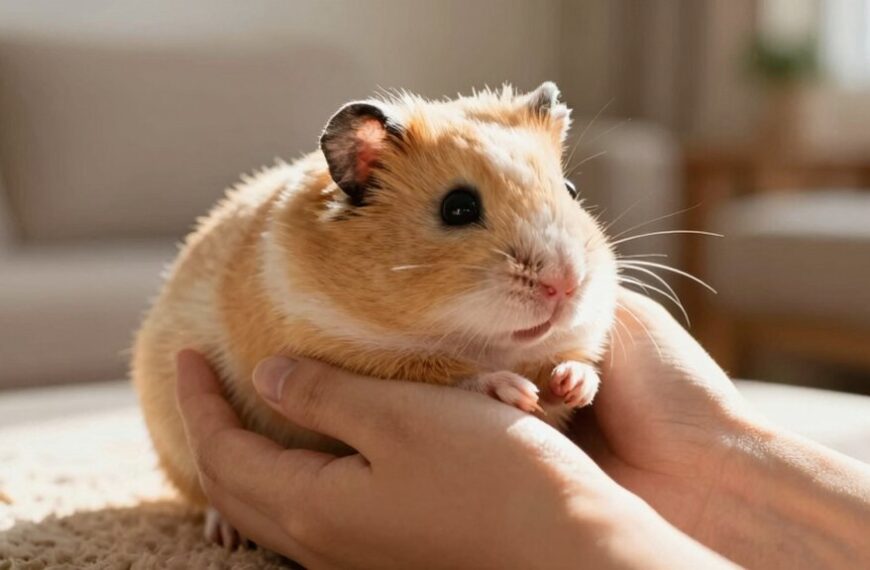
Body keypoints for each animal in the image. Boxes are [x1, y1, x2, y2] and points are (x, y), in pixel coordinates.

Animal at [132, 81, 618, 542]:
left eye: (572, 192)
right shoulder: (350, 350)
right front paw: (515, 391)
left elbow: (571, 365)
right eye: (458, 207)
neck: (482, 341)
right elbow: (458, 375)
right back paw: (229, 536)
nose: (566, 283)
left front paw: (572, 385)